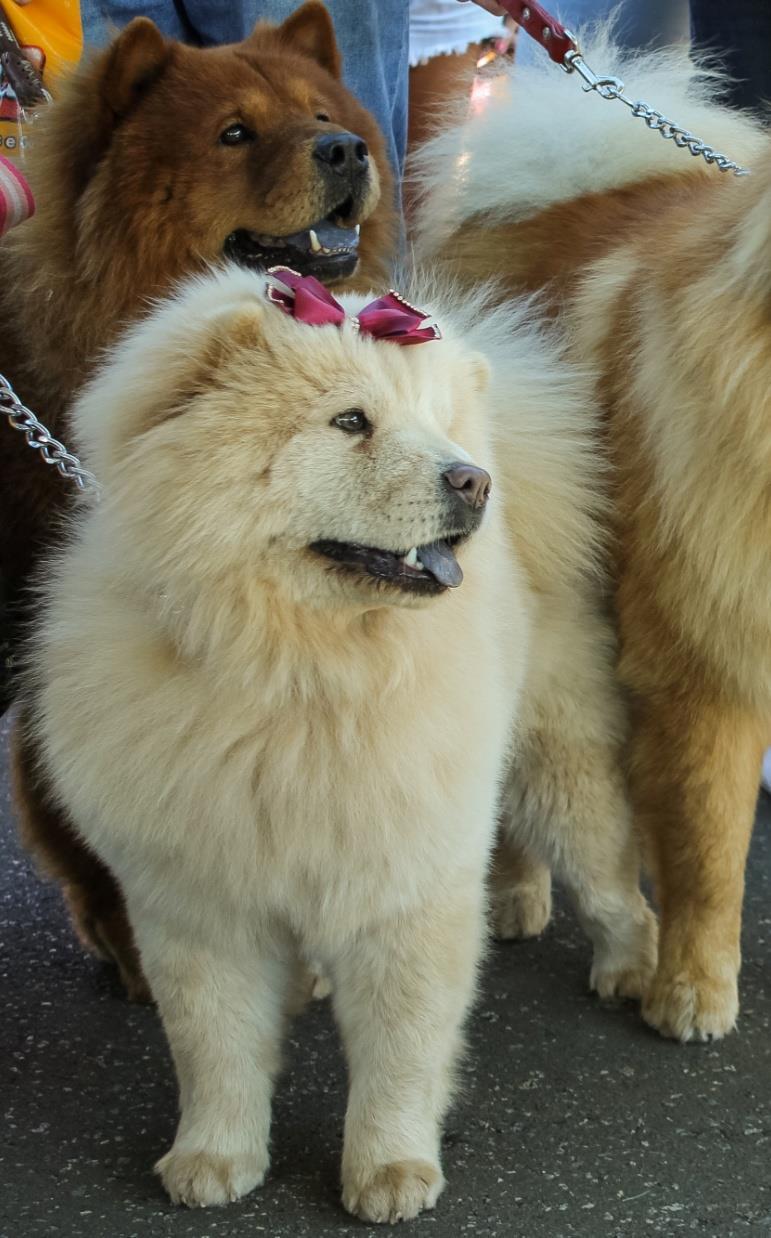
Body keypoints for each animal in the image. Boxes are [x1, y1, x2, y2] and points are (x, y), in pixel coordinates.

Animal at [27, 266, 658, 1223]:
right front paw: (212, 1159)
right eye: (351, 422)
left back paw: (632, 967)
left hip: (557, 757)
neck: (299, 672)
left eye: (436, 424)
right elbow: (213, 1044)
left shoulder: (406, 881)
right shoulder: (197, 895)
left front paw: (390, 1173)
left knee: (608, 873)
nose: (472, 479)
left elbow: (401, 1048)